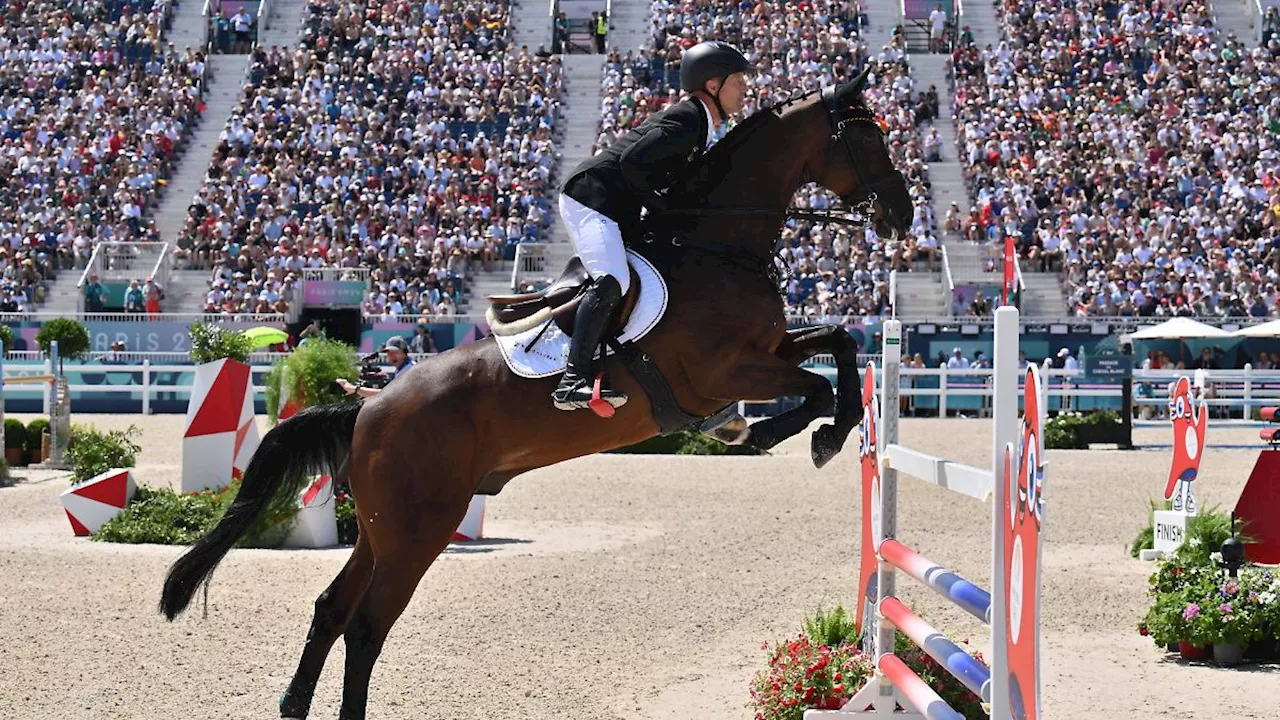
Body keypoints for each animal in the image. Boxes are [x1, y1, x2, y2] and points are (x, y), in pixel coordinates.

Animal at [160, 67, 916, 717]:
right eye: (867, 136)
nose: (903, 217)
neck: (714, 246)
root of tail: (370, 405)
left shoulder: (765, 353)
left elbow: (838, 345)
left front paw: (797, 431)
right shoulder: (723, 370)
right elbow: (814, 384)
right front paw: (791, 434)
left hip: (383, 526)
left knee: (332, 608)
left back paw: (292, 706)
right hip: (419, 527)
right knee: (367, 625)